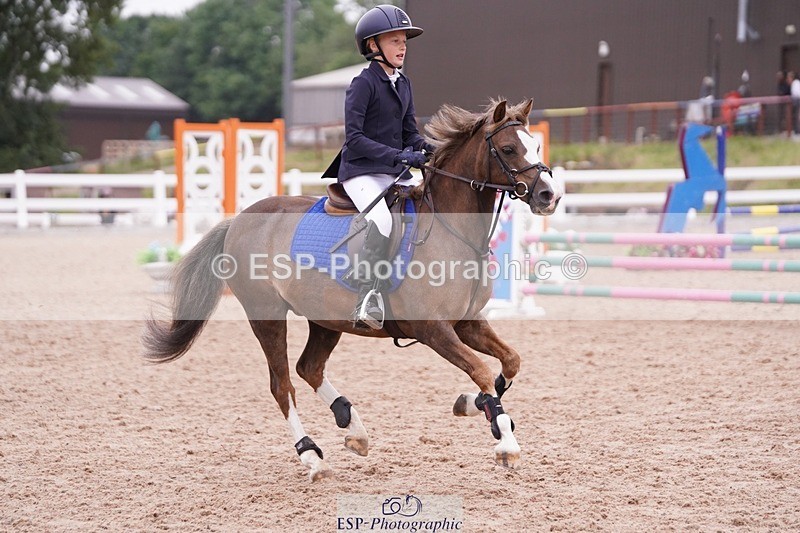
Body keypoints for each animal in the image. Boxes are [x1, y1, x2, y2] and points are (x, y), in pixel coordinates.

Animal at [142, 98, 563, 481]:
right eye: (508, 149)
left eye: (535, 146)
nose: (549, 196)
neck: (451, 228)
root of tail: (239, 221)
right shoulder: (433, 329)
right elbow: (480, 369)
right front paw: (505, 442)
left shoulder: (467, 322)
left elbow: (508, 363)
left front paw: (472, 404)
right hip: (267, 315)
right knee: (283, 384)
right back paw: (311, 457)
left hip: (326, 319)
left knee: (309, 367)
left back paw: (354, 428)